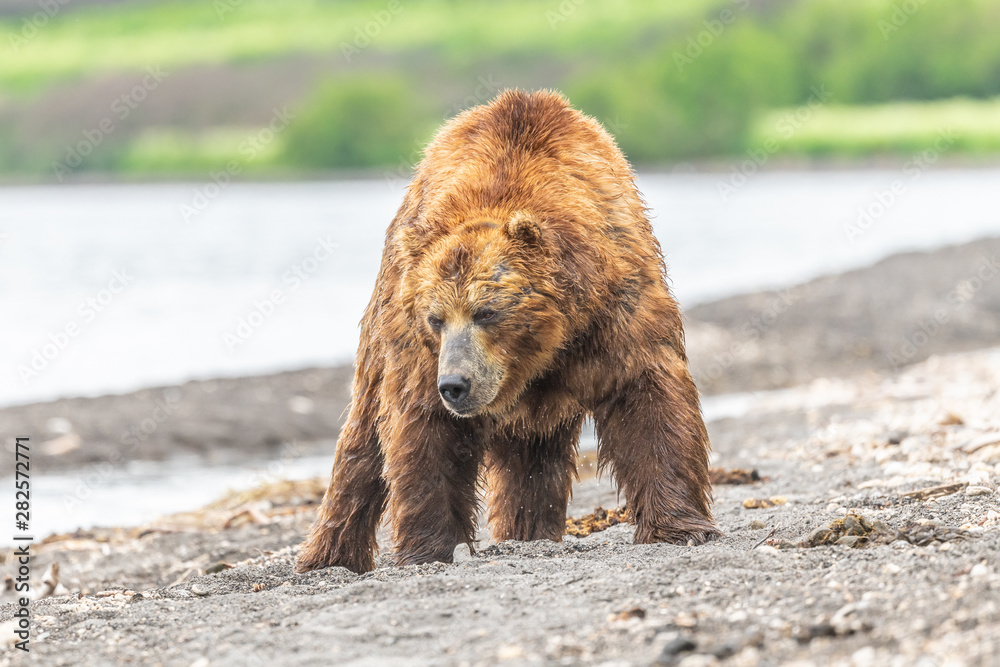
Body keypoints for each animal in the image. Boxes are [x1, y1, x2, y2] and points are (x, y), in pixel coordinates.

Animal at [295, 89, 720, 575]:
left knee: (533, 457)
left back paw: (528, 532)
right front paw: (427, 550)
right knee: (364, 437)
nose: (455, 385)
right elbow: (423, 429)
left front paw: (680, 527)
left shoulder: (615, 308)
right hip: (384, 311)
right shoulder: (419, 350)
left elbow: (646, 395)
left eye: (486, 312)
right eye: (435, 318)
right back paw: (328, 554)